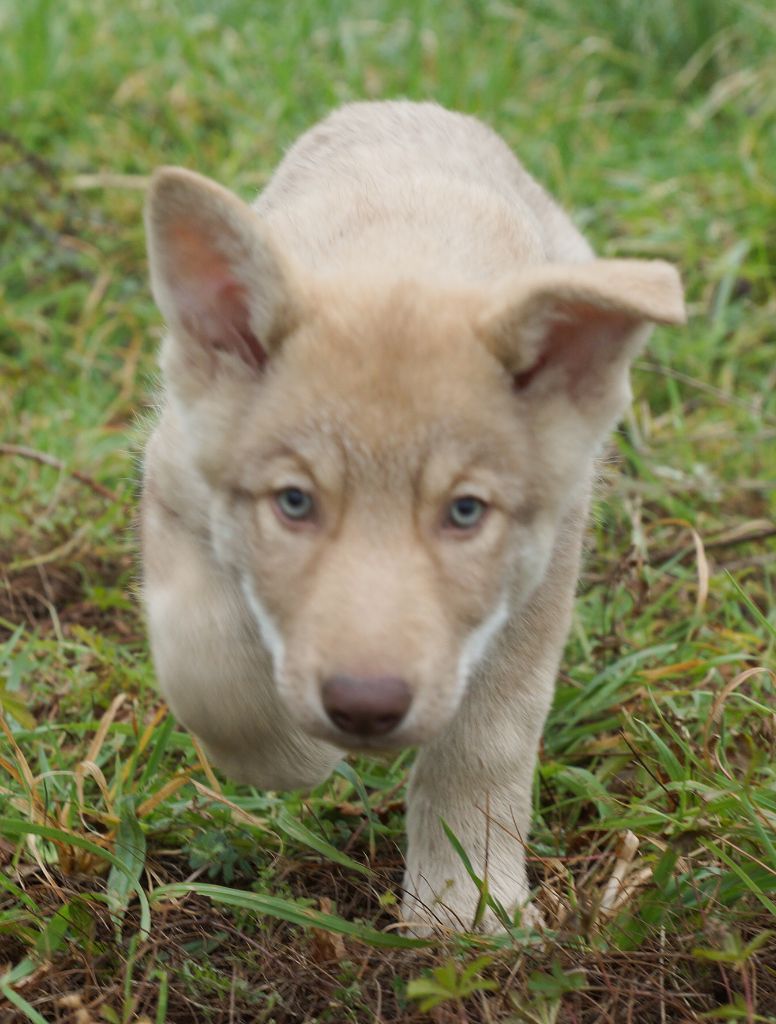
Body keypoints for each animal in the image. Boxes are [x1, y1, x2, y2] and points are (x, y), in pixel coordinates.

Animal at [141, 101, 684, 933]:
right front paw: (299, 756)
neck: (401, 255)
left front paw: (467, 906)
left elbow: (486, 742)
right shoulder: (174, 477)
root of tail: (409, 108)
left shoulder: (541, 570)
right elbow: (206, 664)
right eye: (294, 502)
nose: (363, 708)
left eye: (464, 512)